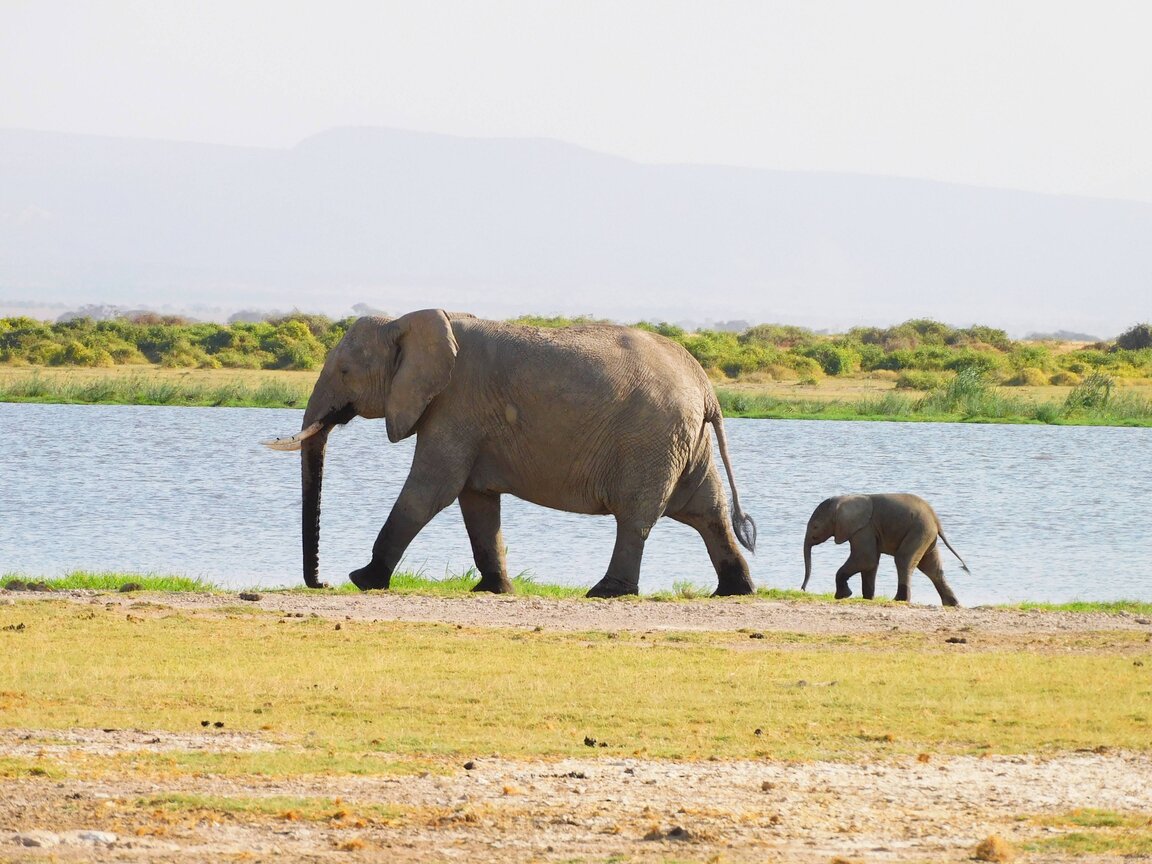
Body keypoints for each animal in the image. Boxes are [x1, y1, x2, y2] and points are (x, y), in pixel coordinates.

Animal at [264, 308, 760, 599]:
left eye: (345, 371)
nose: (322, 581)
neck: (407, 320)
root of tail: (705, 385)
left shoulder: (454, 404)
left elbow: (429, 490)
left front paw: (363, 580)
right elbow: (476, 501)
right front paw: (493, 590)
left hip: (652, 439)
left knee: (637, 518)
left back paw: (606, 592)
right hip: (683, 441)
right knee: (708, 512)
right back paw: (735, 591)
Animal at [801, 493, 972, 608]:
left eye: (815, 526)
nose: (802, 589)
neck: (844, 499)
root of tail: (936, 520)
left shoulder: (863, 529)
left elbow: (866, 559)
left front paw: (843, 596)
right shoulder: (866, 530)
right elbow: (870, 564)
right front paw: (867, 598)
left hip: (919, 531)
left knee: (904, 560)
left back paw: (899, 600)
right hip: (927, 536)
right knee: (931, 568)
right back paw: (952, 604)